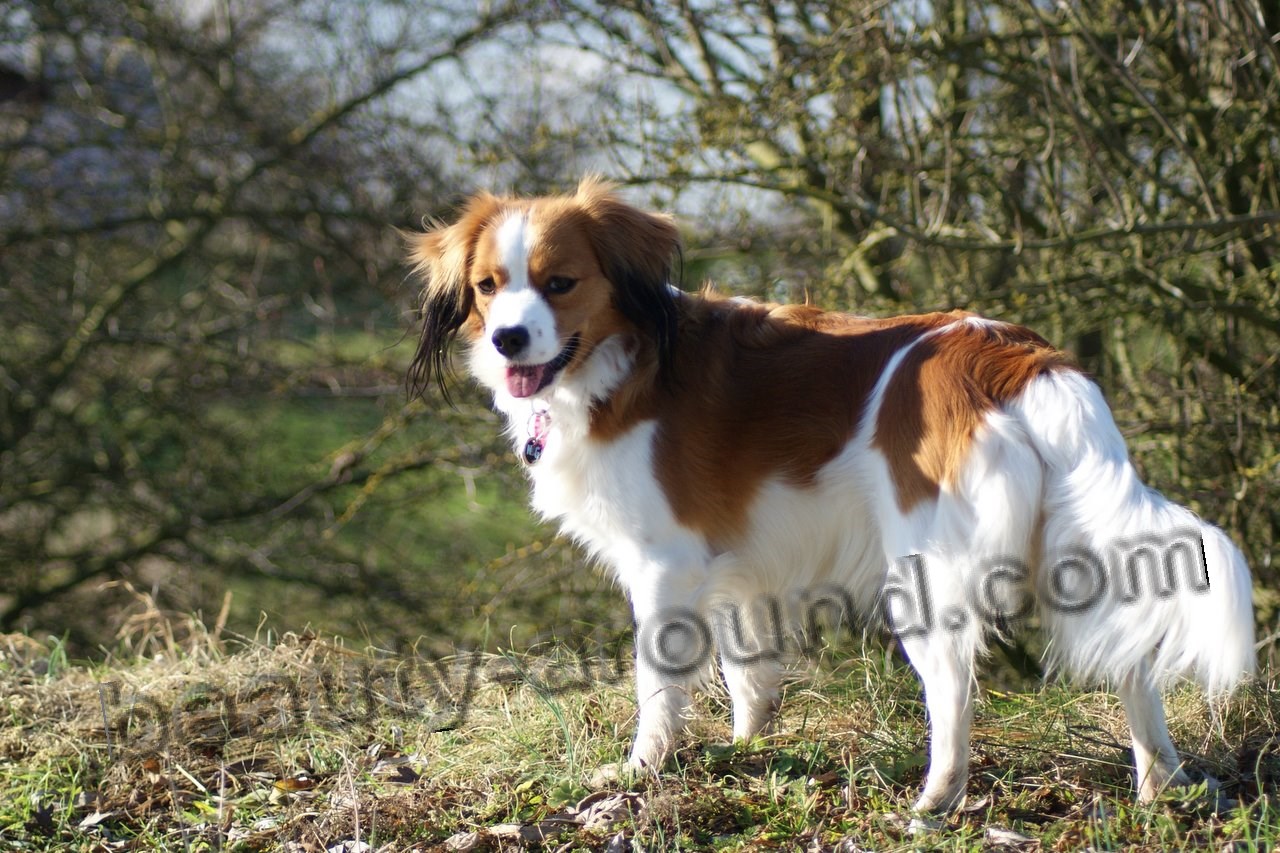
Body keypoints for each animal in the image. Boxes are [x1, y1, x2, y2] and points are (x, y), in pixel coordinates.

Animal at [407, 175, 1249, 809]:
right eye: (488, 287)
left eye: (560, 283)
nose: (508, 339)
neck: (628, 358)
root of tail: (1016, 356)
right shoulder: (739, 571)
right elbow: (750, 676)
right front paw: (743, 754)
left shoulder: (664, 565)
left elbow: (658, 682)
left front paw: (644, 767)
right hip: (1070, 548)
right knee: (1133, 656)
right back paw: (1161, 785)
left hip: (927, 571)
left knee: (953, 688)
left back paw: (935, 801)